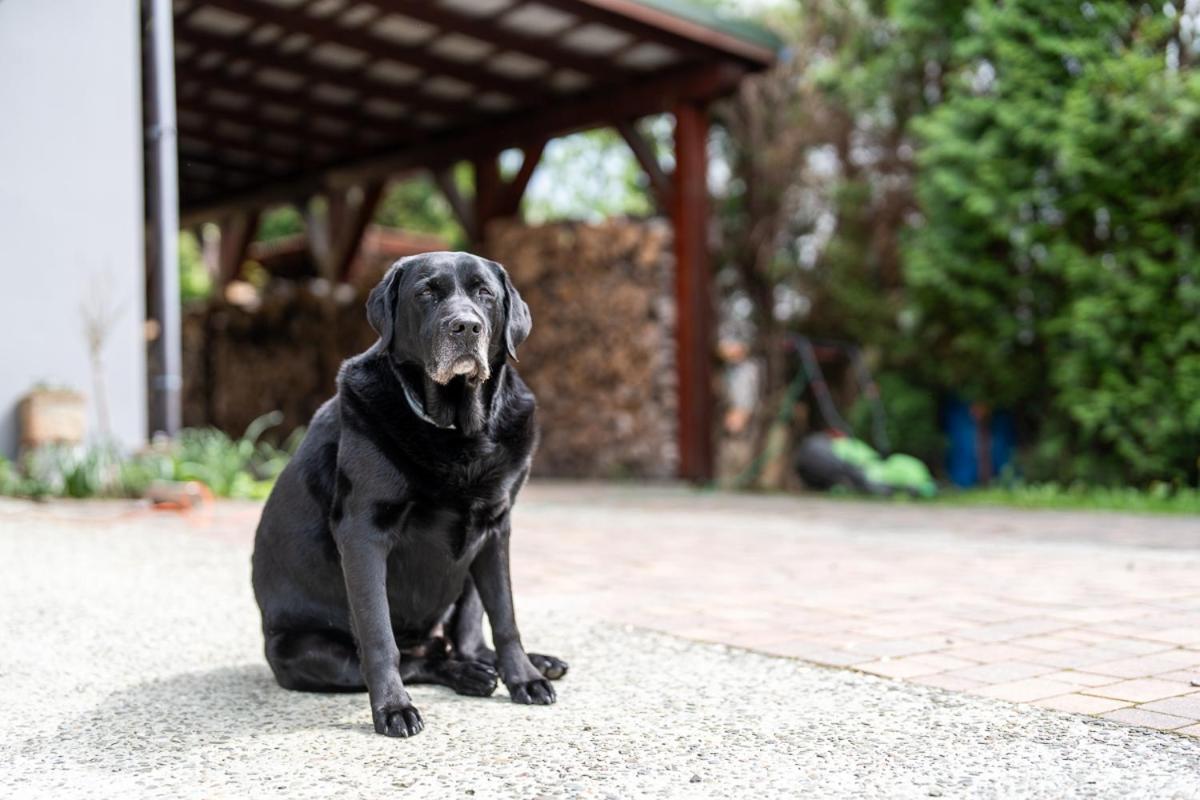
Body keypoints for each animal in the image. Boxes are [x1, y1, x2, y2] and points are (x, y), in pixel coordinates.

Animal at [249, 250, 566, 738]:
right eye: (426, 293)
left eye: (485, 293)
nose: (466, 327)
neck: (456, 430)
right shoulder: (363, 533)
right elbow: (380, 637)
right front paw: (393, 709)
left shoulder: (496, 527)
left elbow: (505, 617)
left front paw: (524, 678)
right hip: (300, 650)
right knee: (420, 660)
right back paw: (467, 675)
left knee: (466, 640)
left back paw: (520, 663)